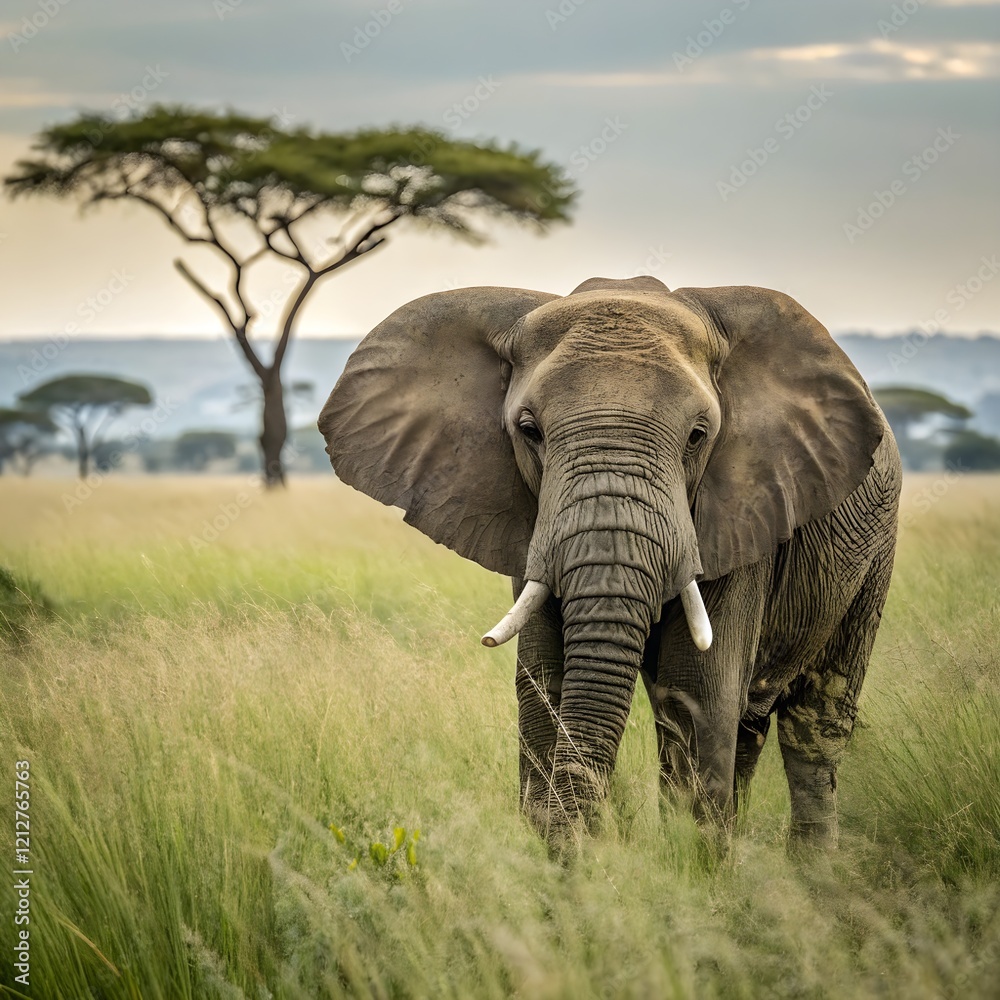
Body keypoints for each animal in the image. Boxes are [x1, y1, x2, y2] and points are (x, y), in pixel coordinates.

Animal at [318, 276, 901, 848]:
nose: (596, 835)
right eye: (529, 430)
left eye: (698, 435)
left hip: (874, 552)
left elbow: (698, 699)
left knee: (815, 727)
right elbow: (544, 689)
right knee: (750, 731)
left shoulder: (738, 512)